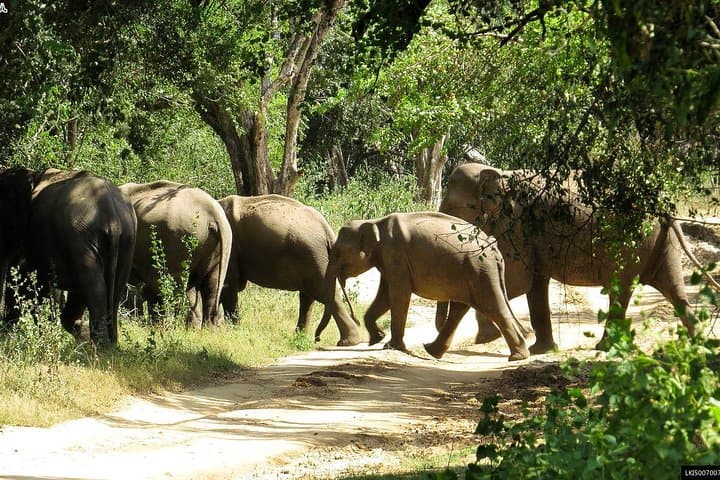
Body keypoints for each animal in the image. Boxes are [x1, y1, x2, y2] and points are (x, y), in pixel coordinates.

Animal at [0, 167, 137, 346]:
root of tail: (112, 216)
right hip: (127, 238)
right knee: (114, 288)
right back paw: (109, 342)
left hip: (81, 238)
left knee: (94, 287)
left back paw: (99, 345)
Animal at [218, 194, 362, 346]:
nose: (318, 339)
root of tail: (326, 229)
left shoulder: (229, 249)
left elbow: (228, 285)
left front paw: (232, 331)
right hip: (313, 259)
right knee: (309, 297)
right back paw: (300, 338)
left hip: (313, 257)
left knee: (324, 295)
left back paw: (348, 342)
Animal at [325, 211, 530, 361]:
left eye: (336, 253)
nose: (356, 320)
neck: (374, 222)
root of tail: (496, 251)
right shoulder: (388, 260)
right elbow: (385, 295)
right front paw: (377, 339)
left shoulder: (395, 254)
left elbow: (398, 294)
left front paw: (391, 346)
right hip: (471, 273)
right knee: (459, 310)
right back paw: (431, 350)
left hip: (481, 272)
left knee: (492, 307)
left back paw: (518, 357)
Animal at [437, 163, 716, 353]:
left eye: (453, 210)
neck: (498, 172)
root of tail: (663, 208)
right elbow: (534, 285)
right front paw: (541, 350)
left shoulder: (515, 226)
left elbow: (517, 281)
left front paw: (486, 338)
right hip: (661, 243)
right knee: (673, 287)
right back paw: (699, 343)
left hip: (630, 241)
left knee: (620, 288)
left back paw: (605, 348)